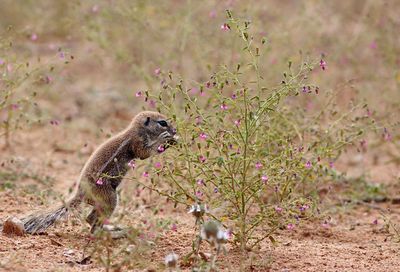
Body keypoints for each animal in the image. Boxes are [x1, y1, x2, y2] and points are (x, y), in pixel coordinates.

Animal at [16, 110, 177, 234]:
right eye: (163, 123)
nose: (175, 130)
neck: (137, 129)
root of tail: (81, 193)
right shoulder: (136, 143)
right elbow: (145, 153)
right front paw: (165, 139)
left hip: (102, 202)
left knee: (90, 219)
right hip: (109, 198)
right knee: (93, 224)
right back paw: (112, 233)